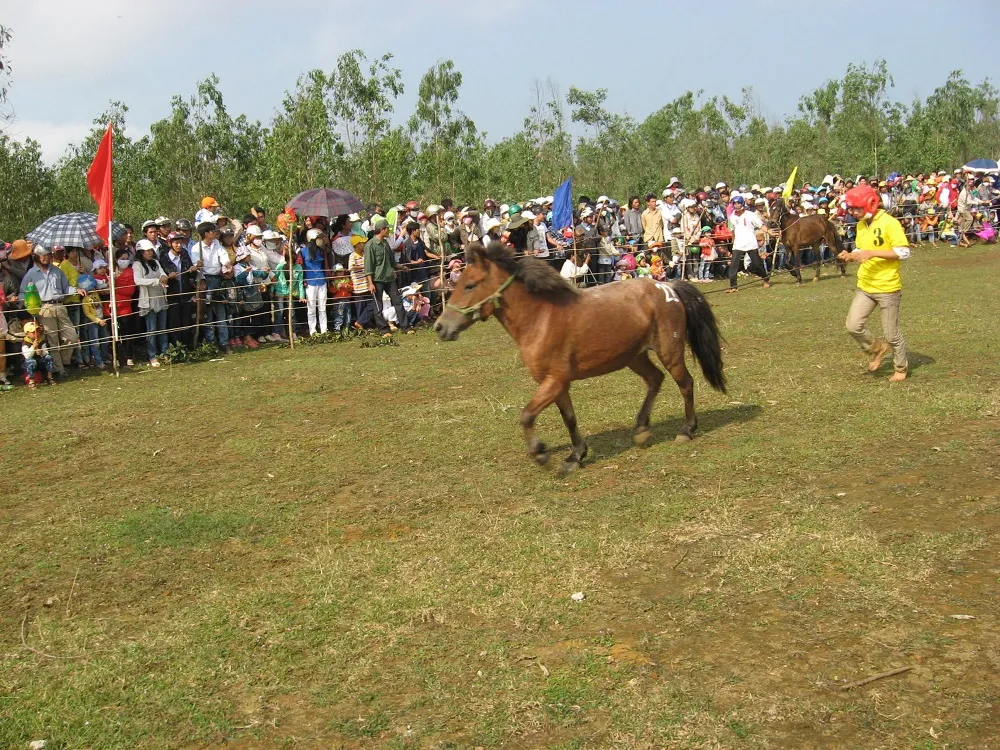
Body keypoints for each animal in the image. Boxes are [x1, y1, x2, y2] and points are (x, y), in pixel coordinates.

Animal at [434, 244, 724, 472]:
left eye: (469, 285)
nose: (440, 327)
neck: (540, 318)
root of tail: (668, 286)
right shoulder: (557, 384)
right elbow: (569, 419)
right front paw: (575, 456)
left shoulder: (555, 381)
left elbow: (526, 415)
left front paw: (540, 453)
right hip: (635, 356)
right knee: (655, 379)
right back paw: (641, 430)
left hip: (669, 352)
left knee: (685, 384)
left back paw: (686, 430)